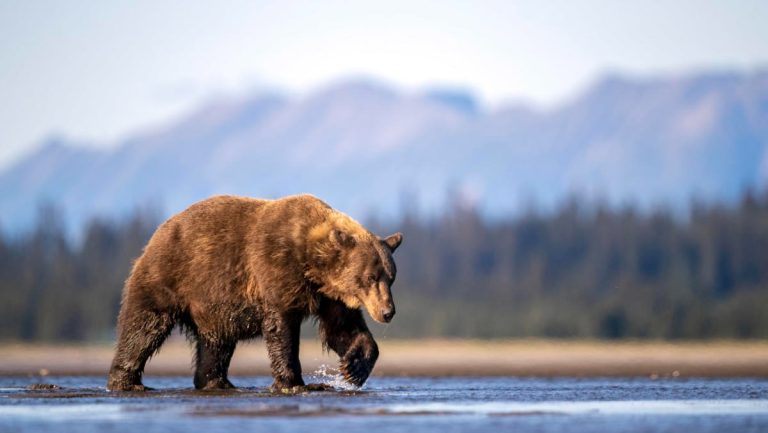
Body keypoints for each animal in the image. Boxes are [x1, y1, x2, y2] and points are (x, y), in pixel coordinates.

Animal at [106, 195, 402, 392]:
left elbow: (342, 328)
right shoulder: (276, 270)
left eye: (391, 277)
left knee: (216, 343)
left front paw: (353, 368)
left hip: (213, 306)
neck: (311, 264)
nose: (388, 312)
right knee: (143, 327)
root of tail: (160, 230)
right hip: (170, 276)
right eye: (370, 277)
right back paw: (127, 382)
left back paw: (217, 382)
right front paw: (295, 383)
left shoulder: (329, 295)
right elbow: (281, 329)